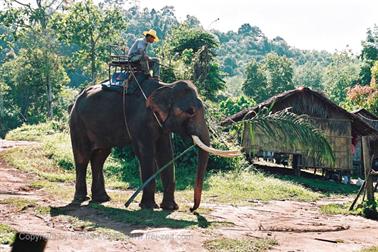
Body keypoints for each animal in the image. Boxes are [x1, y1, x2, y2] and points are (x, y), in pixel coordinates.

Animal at [69, 74, 238, 212]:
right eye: (190, 111)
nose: (191, 208)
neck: (166, 86)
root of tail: (77, 99)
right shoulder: (141, 120)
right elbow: (146, 153)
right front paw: (149, 206)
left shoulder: (162, 124)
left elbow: (166, 153)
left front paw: (170, 208)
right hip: (77, 122)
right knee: (82, 157)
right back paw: (80, 198)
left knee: (100, 156)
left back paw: (101, 199)